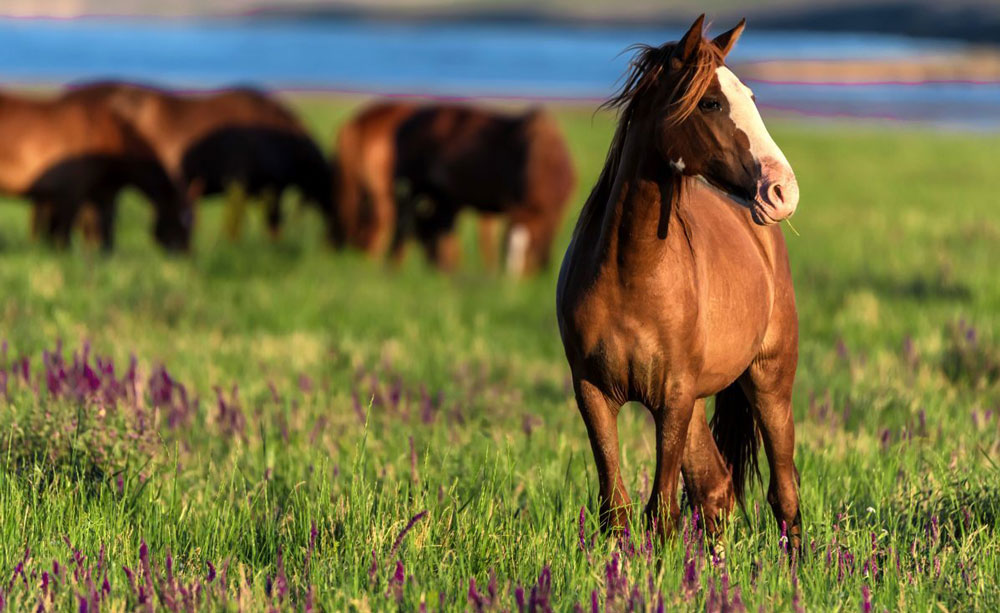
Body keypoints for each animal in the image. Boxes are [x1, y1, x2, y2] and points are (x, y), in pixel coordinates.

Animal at [0, 89, 193, 251]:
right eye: (183, 218)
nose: (183, 253)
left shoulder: (99, 192)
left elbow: (101, 226)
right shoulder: (72, 192)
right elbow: (64, 231)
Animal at [392, 104, 580, 274]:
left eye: (533, 245)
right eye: (505, 246)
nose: (512, 283)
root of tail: (406, 124)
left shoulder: (556, 213)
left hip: (439, 199)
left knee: (433, 231)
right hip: (409, 191)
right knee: (403, 229)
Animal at [560, 14, 800, 544]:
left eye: (751, 96)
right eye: (711, 102)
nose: (782, 190)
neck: (632, 272)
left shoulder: (672, 397)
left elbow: (662, 511)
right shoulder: (594, 393)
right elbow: (617, 508)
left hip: (769, 383)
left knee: (784, 495)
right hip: (697, 406)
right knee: (717, 490)